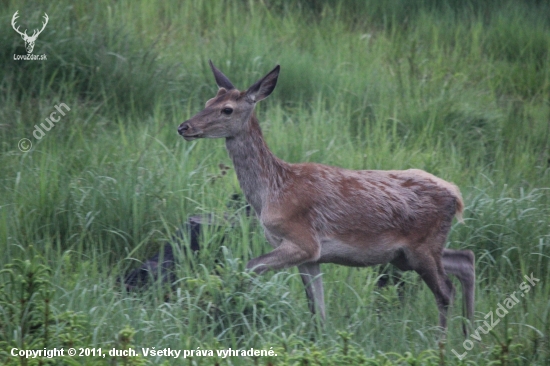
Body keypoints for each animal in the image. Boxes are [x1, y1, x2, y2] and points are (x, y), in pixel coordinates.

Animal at [179, 60, 476, 334]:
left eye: (227, 109)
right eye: (208, 101)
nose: (184, 127)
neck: (272, 190)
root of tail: (456, 194)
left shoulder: (303, 241)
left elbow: (250, 266)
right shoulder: (311, 257)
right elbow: (318, 310)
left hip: (421, 248)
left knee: (445, 291)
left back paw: (442, 344)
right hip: (409, 254)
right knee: (466, 259)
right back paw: (468, 333)